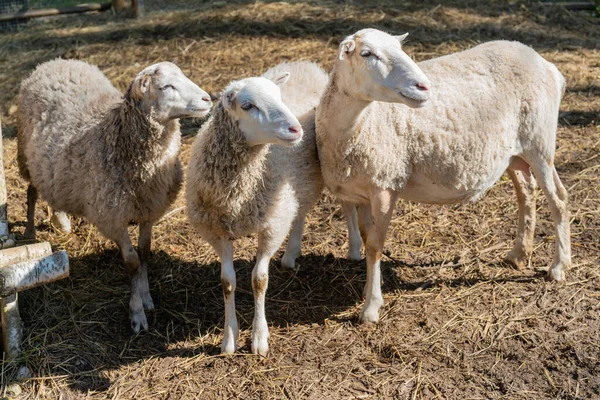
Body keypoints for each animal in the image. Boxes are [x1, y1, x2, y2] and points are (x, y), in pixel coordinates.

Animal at [18, 59, 213, 332]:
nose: (208, 99)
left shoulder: (149, 209)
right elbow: (131, 261)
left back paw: (62, 221)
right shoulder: (112, 218)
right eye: (166, 86)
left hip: (52, 168)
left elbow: (144, 253)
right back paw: (29, 231)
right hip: (25, 154)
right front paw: (137, 313)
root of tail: (53, 62)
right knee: (32, 191)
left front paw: (146, 296)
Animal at [185, 61, 358, 354]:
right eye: (247, 105)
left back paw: (354, 248)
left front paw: (259, 338)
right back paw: (291, 254)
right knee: (299, 212)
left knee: (347, 205)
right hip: (297, 184)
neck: (238, 193)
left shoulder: (271, 227)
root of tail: (302, 63)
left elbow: (259, 280)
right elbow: (227, 282)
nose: (295, 129)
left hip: (329, 164)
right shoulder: (216, 231)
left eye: (279, 97)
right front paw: (229, 338)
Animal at [314, 30, 572, 324]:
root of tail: (545, 63)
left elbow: (375, 248)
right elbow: (367, 240)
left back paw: (559, 266)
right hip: (514, 152)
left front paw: (370, 308)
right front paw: (368, 290)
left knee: (559, 200)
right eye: (366, 53)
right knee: (526, 192)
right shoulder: (361, 191)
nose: (423, 86)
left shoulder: (385, 183)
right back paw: (519, 254)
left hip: (540, 142)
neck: (360, 124)